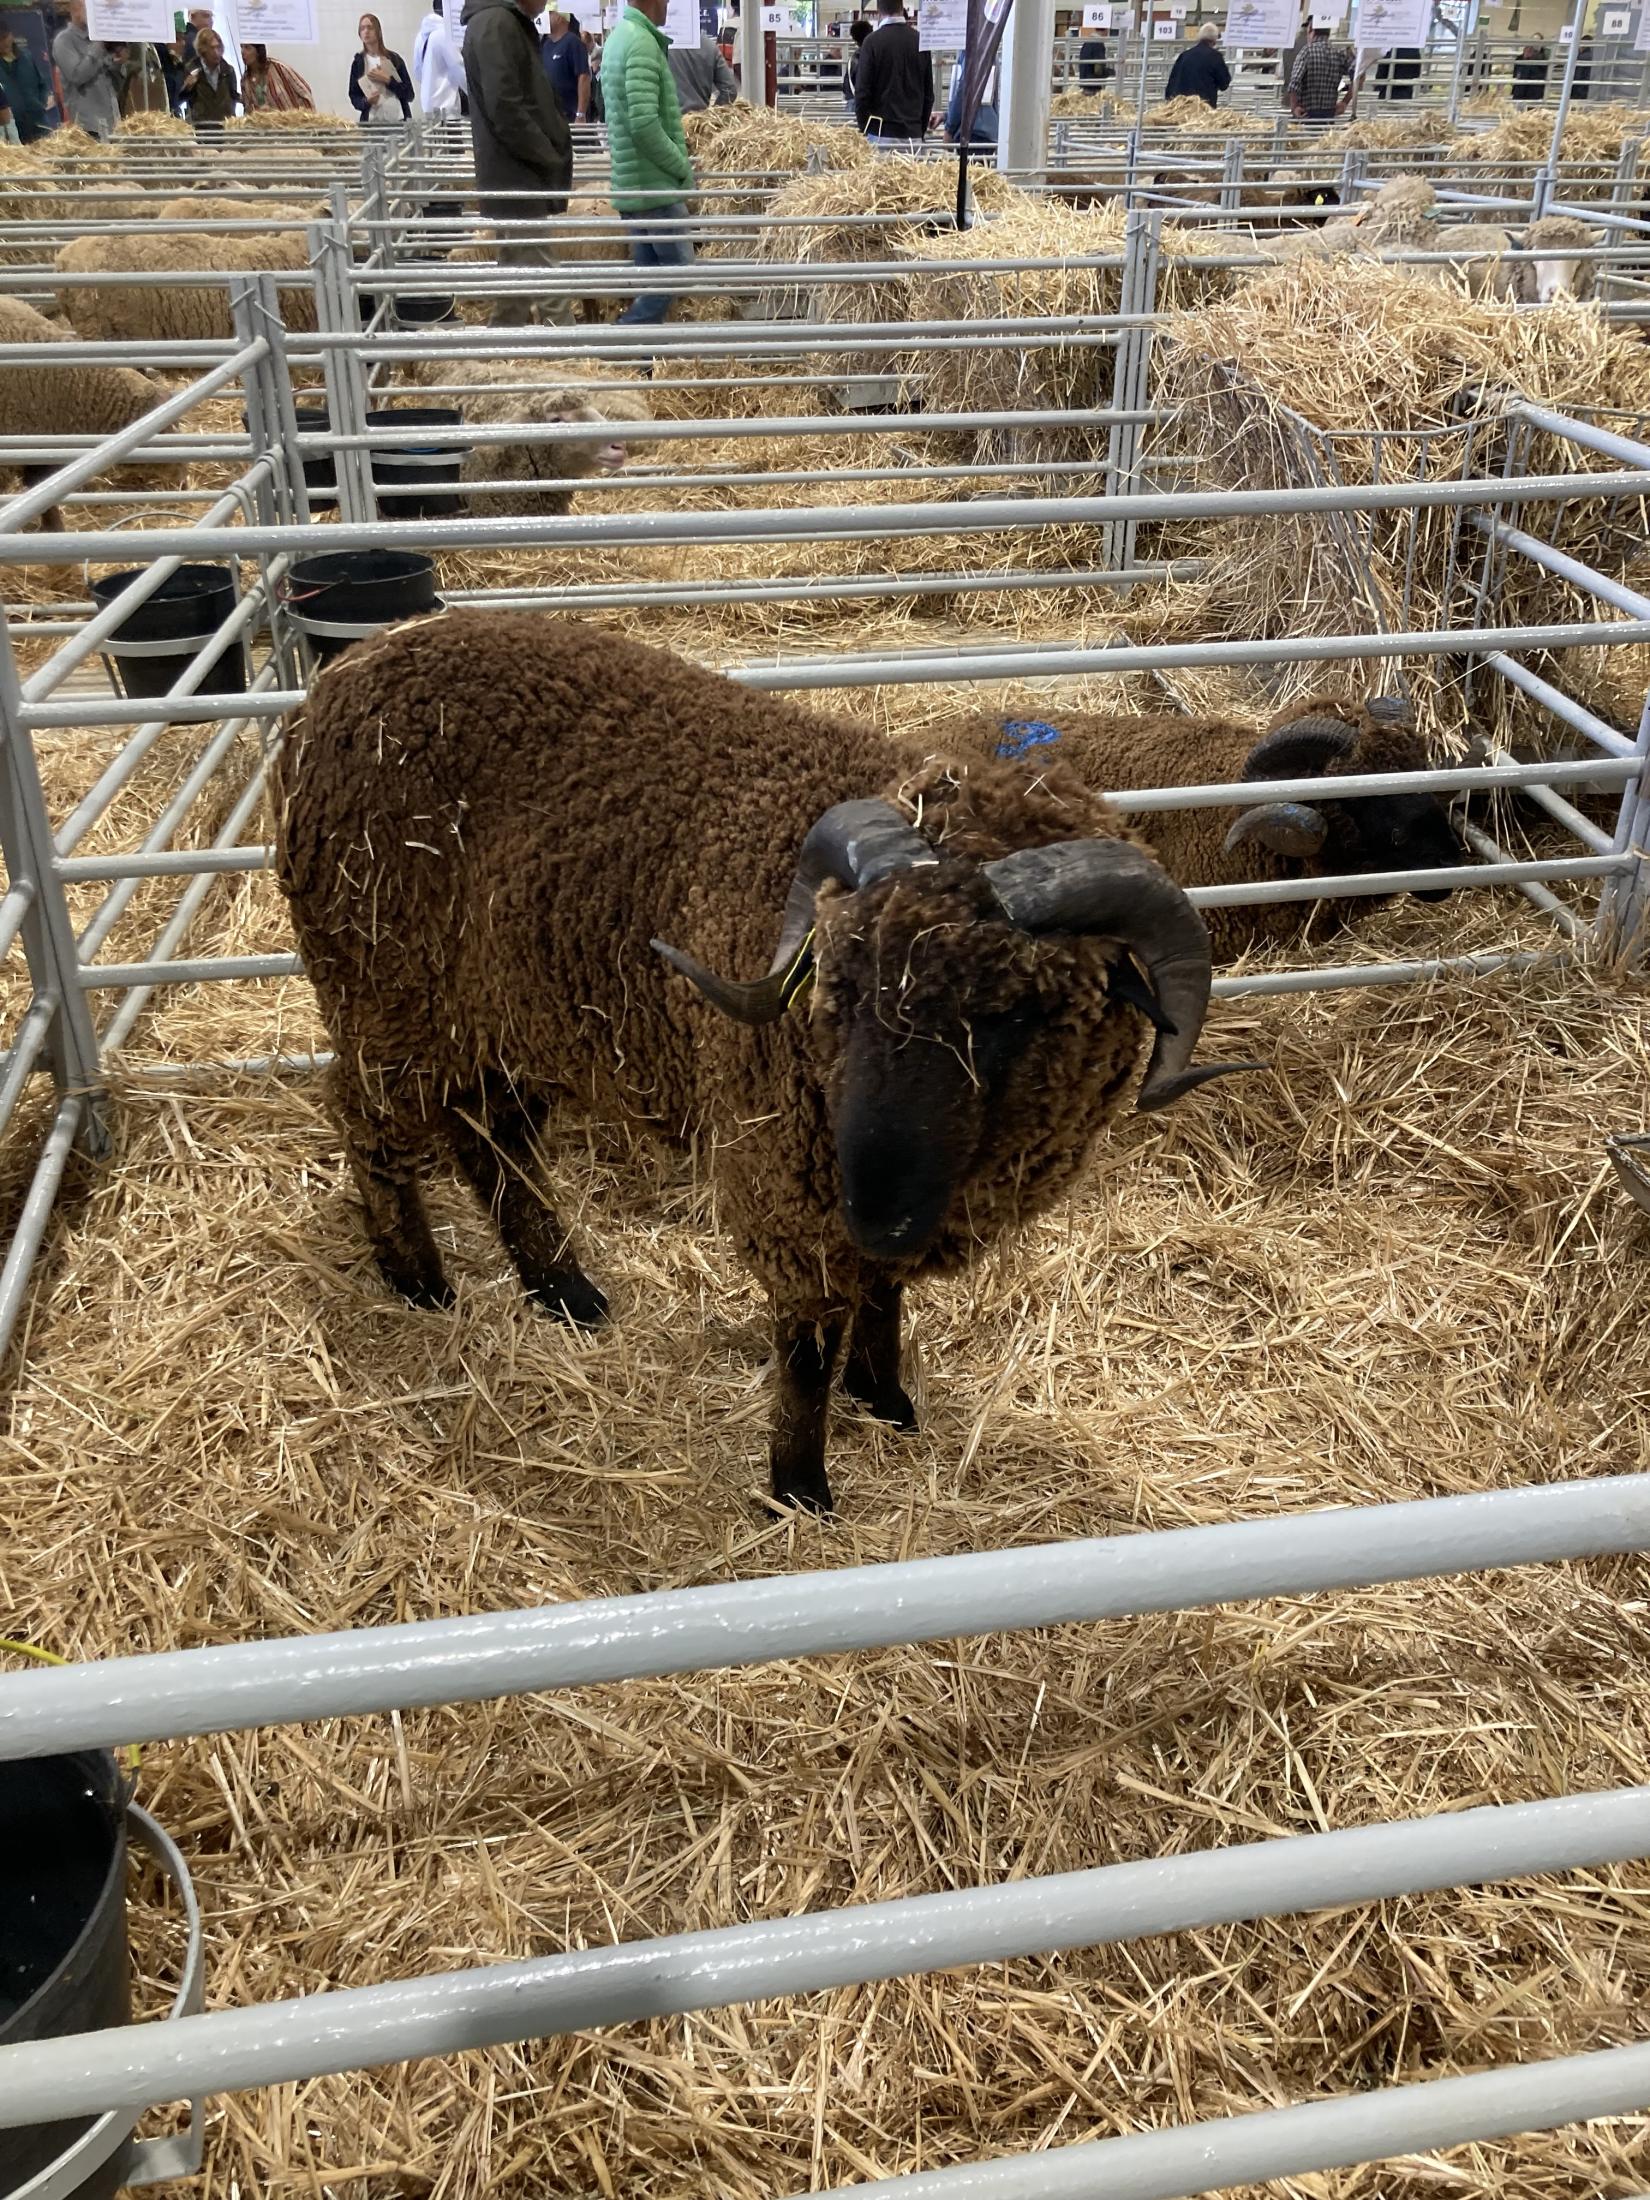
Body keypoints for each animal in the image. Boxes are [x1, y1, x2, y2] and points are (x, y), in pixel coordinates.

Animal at [275, 611, 1250, 1514]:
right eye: (836, 978)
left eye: (1016, 1010)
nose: (879, 1201)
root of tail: (341, 680)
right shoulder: (792, 1185)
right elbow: (807, 1348)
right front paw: (800, 1487)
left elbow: (882, 1296)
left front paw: (887, 1399)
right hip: (382, 990)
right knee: (370, 1120)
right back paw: (418, 1279)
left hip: (505, 1011)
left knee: (491, 1137)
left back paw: (565, 1290)